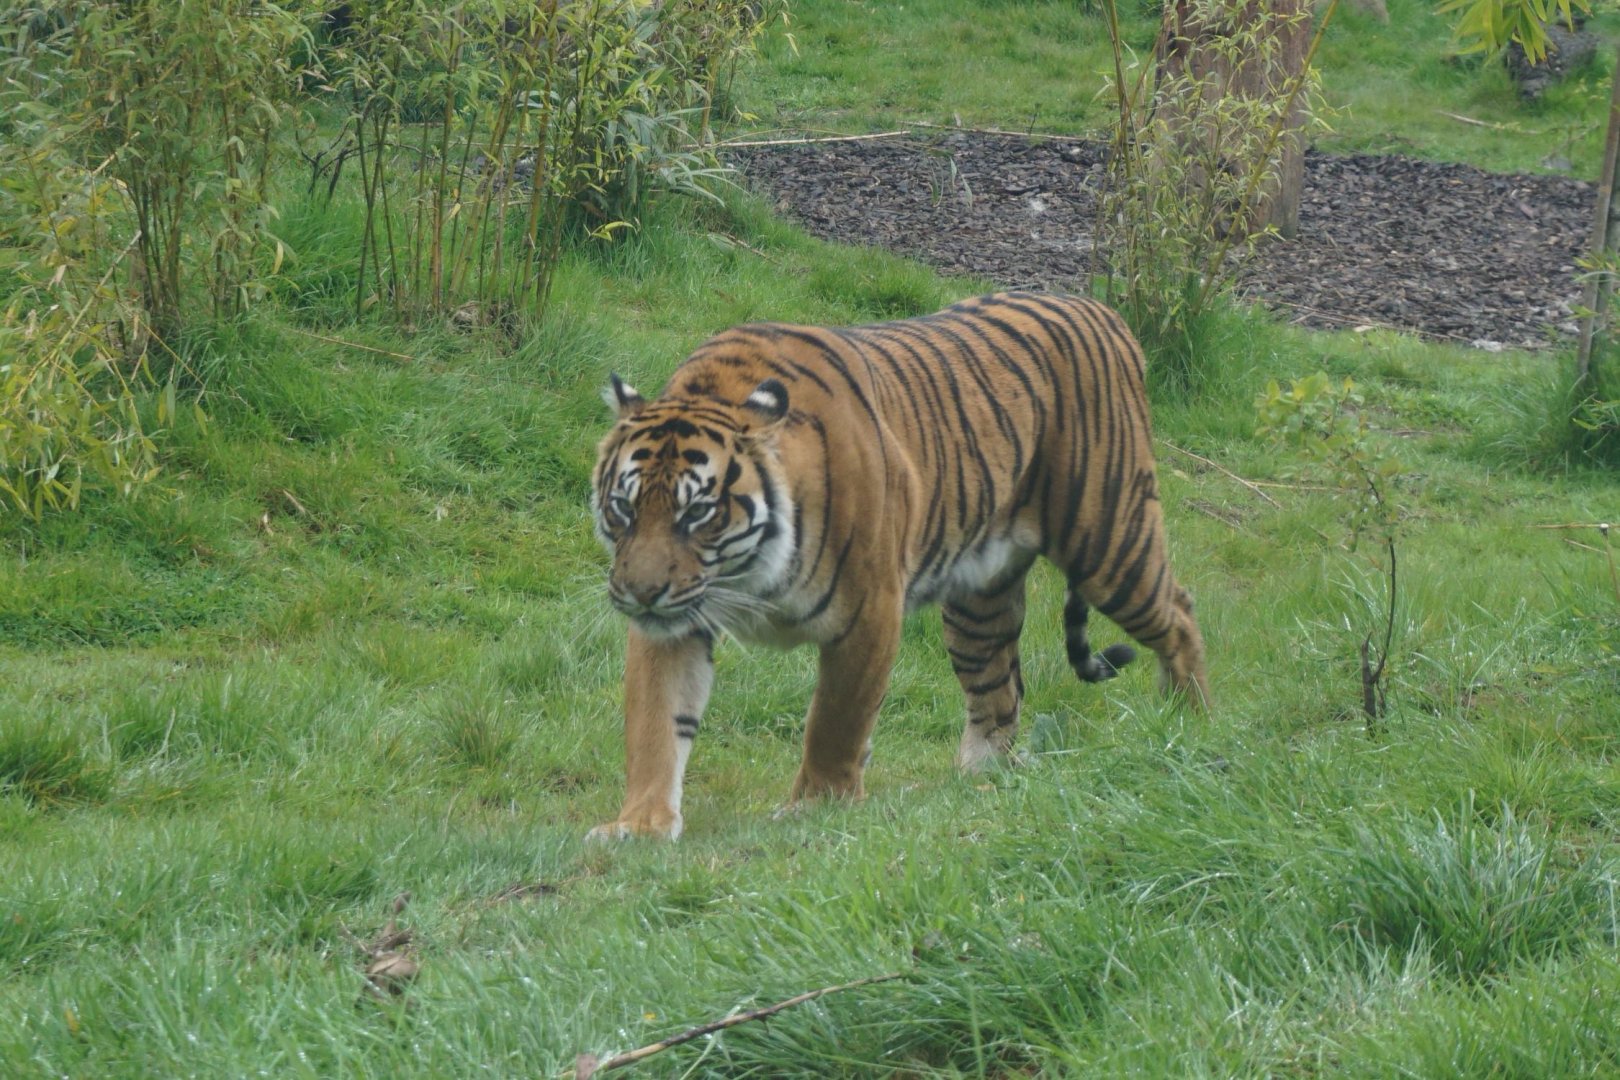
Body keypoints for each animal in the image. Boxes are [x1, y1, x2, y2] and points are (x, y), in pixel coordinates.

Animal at [587, 291, 1208, 840]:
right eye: (624, 507)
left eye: (696, 513)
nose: (639, 593)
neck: (746, 575)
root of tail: (1106, 313)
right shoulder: (676, 620)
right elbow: (657, 720)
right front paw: (639, 825)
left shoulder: (868, 611)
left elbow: (834, 721)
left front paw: (817, 807)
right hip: (978, 605)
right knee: (999, 694)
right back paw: (972, 786)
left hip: (1109, 540)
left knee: (1179, 612)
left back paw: (1188, 723)